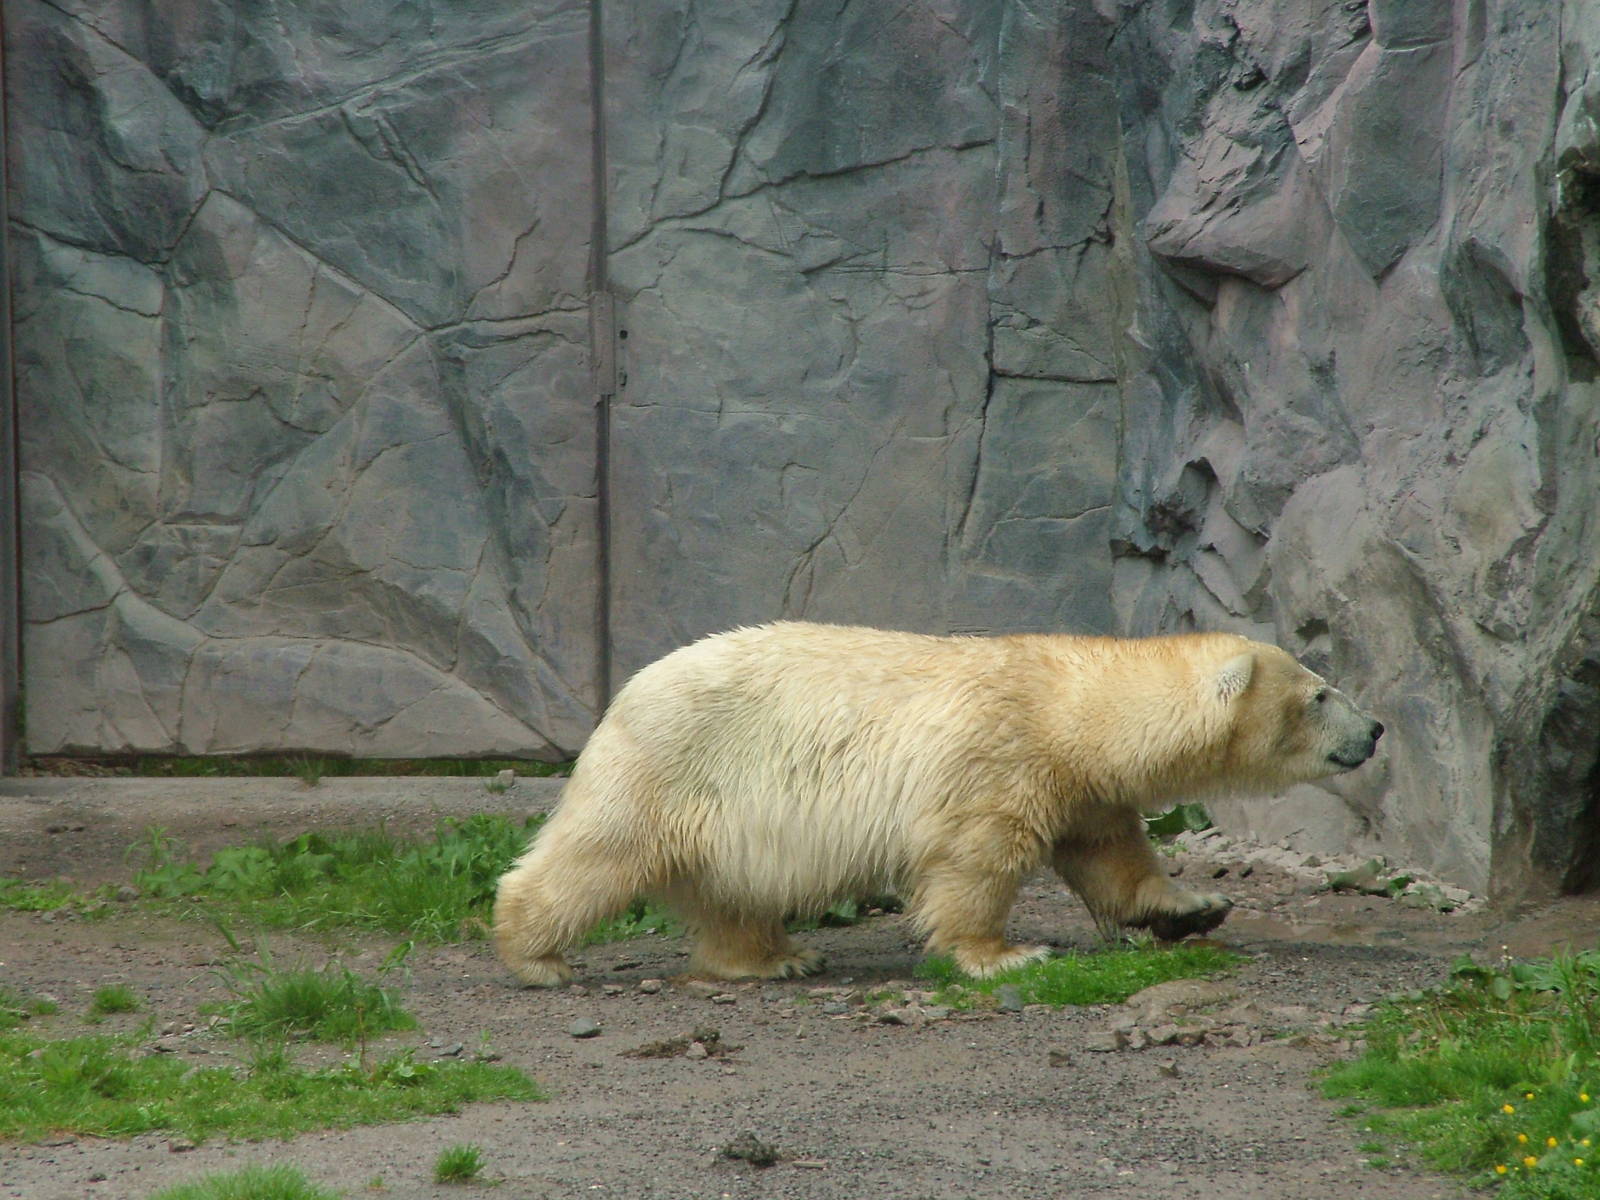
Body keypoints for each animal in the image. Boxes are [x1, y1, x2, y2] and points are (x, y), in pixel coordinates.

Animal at [493, 622, 1383, 984]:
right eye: (1319, 693)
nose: (1375, 729)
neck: (1071, 707)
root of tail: (624, 693)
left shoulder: (1083, 787)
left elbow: (1113, 857)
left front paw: (1192, 907)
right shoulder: (1001, 757)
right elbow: (975, 859)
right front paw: (1004, 954)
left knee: (734, 891)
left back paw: (776, 958)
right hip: (676, 763)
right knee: (596, 855)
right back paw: (536, 956)